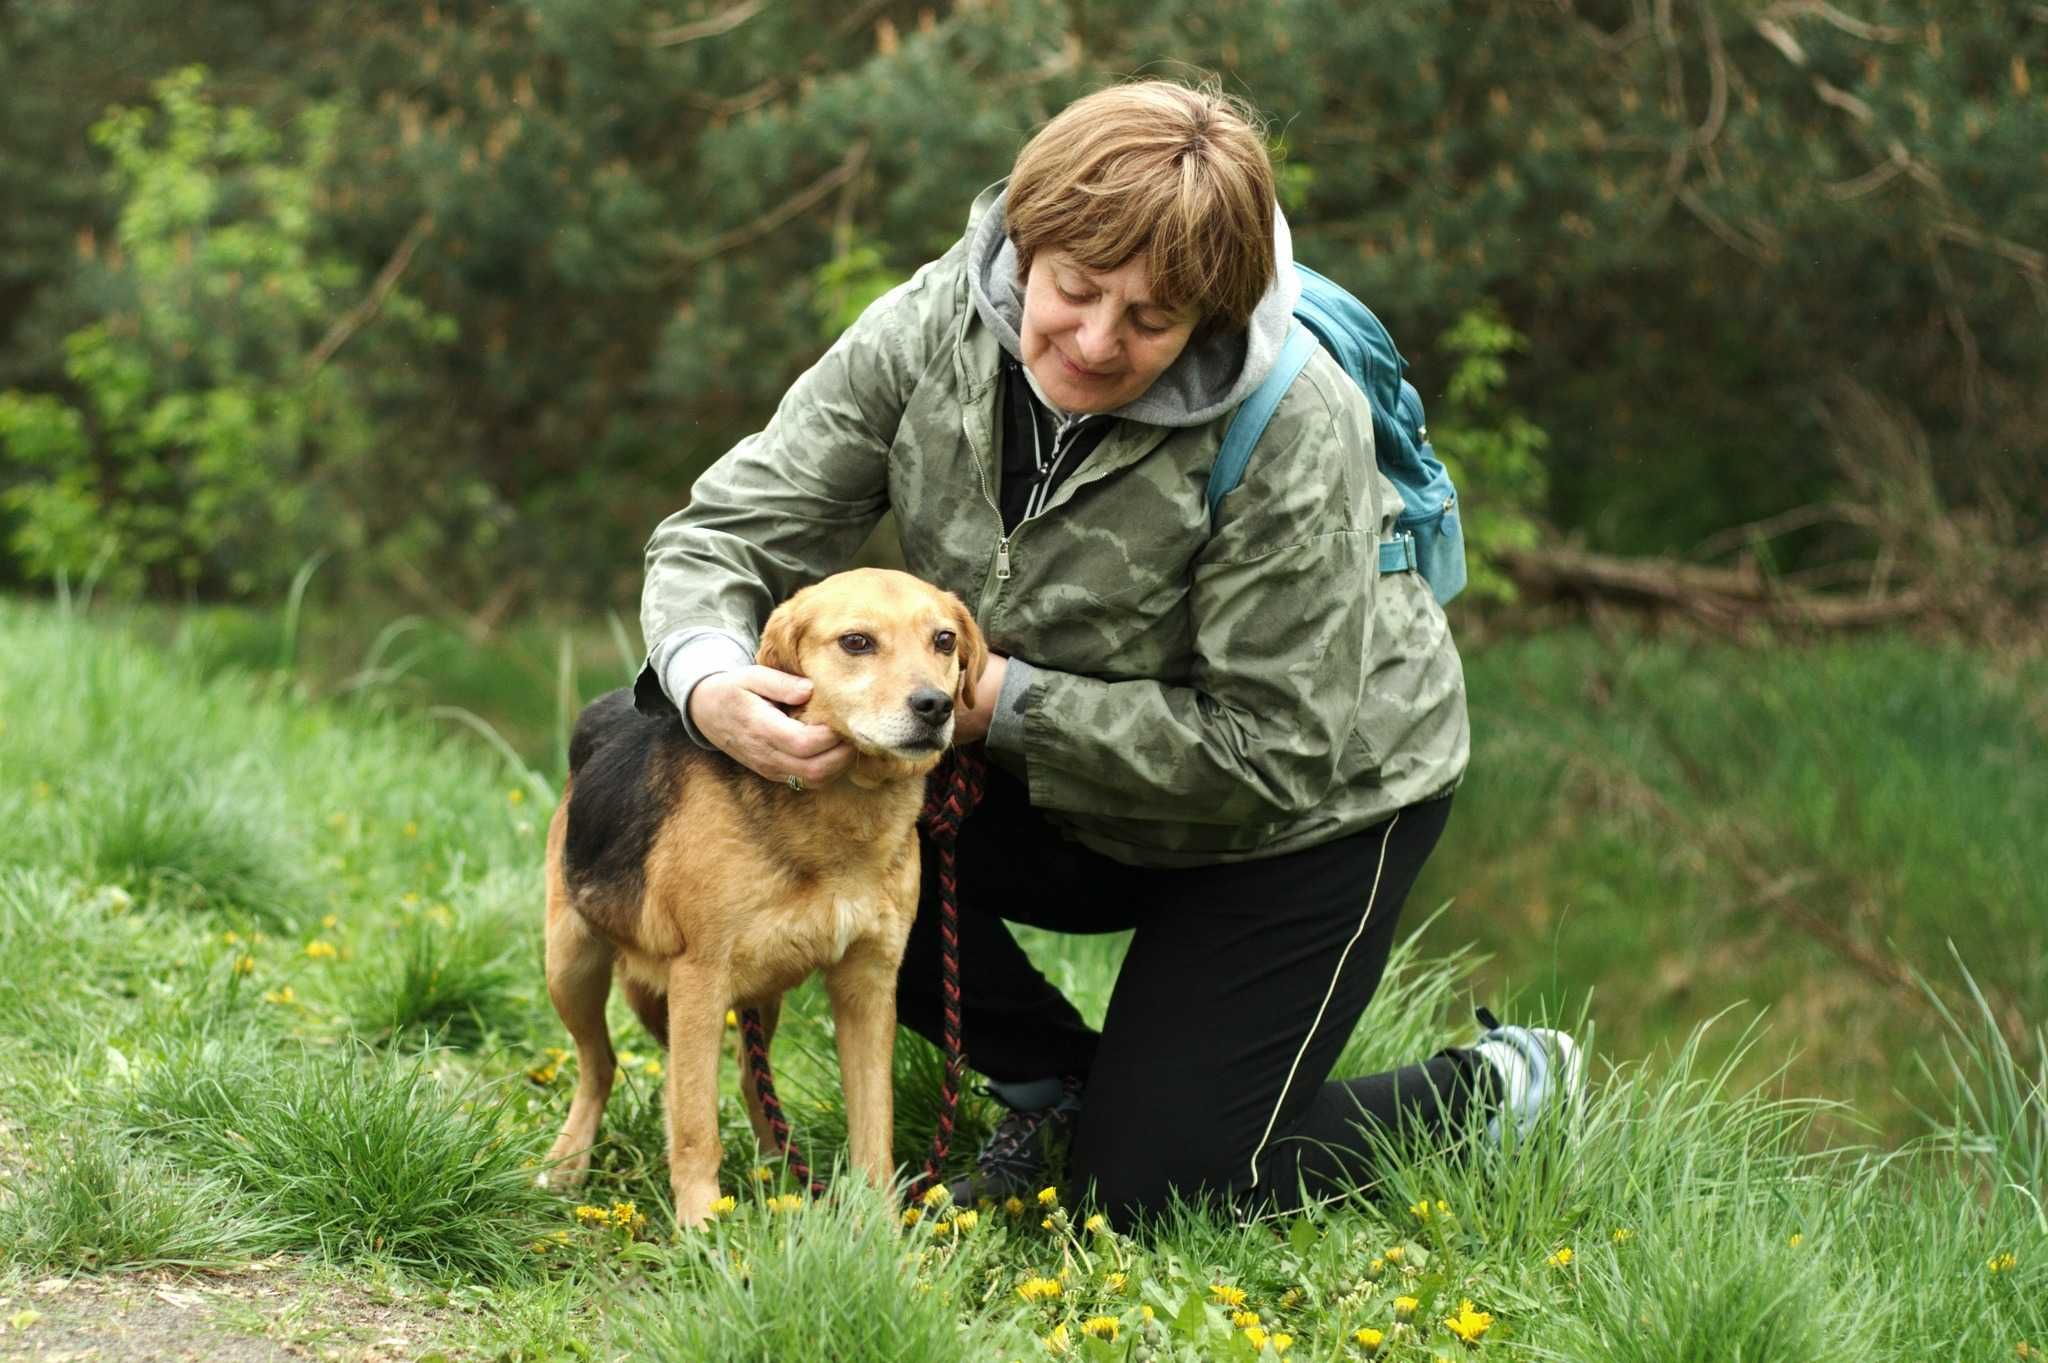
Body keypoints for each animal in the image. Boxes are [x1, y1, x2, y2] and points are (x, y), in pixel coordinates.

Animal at [536, 560, 983, 1219]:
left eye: (944, 641)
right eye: (857, 642)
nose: (935, 705)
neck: (844, 810)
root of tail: (609, 705)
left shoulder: (869, 985)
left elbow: (873, 1128)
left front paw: (878, 1229)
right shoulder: (698, 979)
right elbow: (696, 1127)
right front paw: (702, 1227)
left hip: (760, 994)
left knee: (751, 1081)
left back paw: (779, 1169)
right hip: (572, 965)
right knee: (601, 1065)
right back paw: (568, 1165)